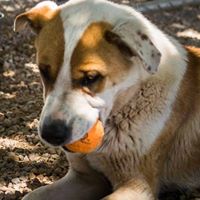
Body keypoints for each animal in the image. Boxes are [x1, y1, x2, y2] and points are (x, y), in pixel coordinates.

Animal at [13, 0, 200, 199]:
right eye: (43, 71)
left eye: (91, 77)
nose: (51, 134)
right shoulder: (84, 178)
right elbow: (30, 196)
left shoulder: (138, 184)